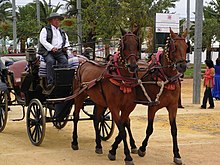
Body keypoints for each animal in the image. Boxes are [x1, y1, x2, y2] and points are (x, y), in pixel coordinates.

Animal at [71, 27, 140, 164]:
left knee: (97, 119)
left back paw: (98, 145)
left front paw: (121, 149)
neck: (121, 78)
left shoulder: (128, 107)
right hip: (79, 96)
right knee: (76, 117)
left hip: (99, 102)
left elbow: (125, 124)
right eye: (124, 45)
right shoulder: (114, 106)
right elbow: (122, 129)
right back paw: (75, 142)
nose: (133, 66)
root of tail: (83, 63)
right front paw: (127, 156)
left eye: (136, 44)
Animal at [136, 29, 187, 164]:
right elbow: (149, 129)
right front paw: (142, 148)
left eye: (186, 47)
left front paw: (177, 154)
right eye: (174, 47)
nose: (183, 66)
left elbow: (174, 130)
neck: (166, 78)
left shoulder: (173, 106)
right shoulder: (152, 106)